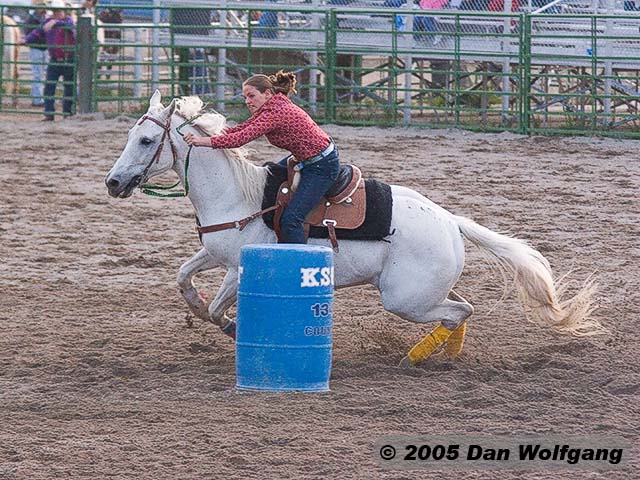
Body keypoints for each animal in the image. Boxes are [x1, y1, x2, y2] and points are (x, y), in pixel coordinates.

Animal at [105, 92, 604, 366]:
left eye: (146, 140)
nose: (113, 182)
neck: (239, 197)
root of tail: (451, 221)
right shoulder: (215, 253)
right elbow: (183, 278)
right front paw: (196, 305)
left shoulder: (237, 267)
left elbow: (215, 309)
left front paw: (229, 326)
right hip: (423, 289)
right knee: (461, 309)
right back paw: (444, 356)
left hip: (404, 298)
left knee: (459, 311)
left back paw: (416, 357)